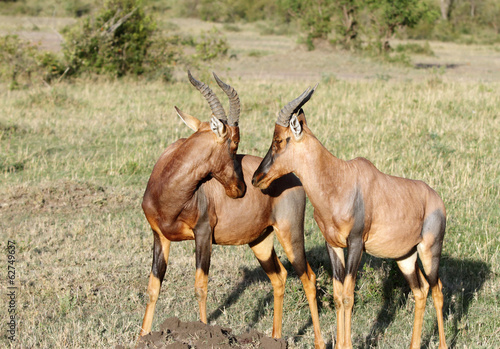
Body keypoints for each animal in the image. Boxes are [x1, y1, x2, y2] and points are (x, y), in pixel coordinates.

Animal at [138, 71, 324, 348]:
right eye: (234, 143)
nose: (241, 188)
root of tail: (294, 175)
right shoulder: (159, 236)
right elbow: (153, 287)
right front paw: (143, 336)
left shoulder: (203, 234)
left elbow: (200, 285)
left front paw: (204, 332)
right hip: (260, 241)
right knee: (279, 277)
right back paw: (275, 338)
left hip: (290, 233)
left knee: (308, 278)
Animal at [254, 85, 450, 348]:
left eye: (279, 140)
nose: (256, 178)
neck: (339, 180)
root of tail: (437, 199)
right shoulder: (333, 245)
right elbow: (338, 295)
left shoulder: (356, 243)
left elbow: (348, 295)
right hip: (405, 257)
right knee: (421, 291)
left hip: (430, 251)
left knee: (437, 289)